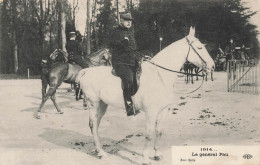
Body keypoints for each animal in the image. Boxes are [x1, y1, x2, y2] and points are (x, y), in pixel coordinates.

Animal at [75, 26, 213, 164]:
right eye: (200, 47)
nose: (212, 65)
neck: (160, 76)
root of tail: (86, 71)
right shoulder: (151, 111)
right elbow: (149, 134)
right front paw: (146, 158)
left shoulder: (163, 110)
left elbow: (159, 131)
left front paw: (157, 154)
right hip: (94, 104)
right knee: (93, 125)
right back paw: (101, 152)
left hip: (102, 105)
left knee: (96, 125)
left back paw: (99, 150)